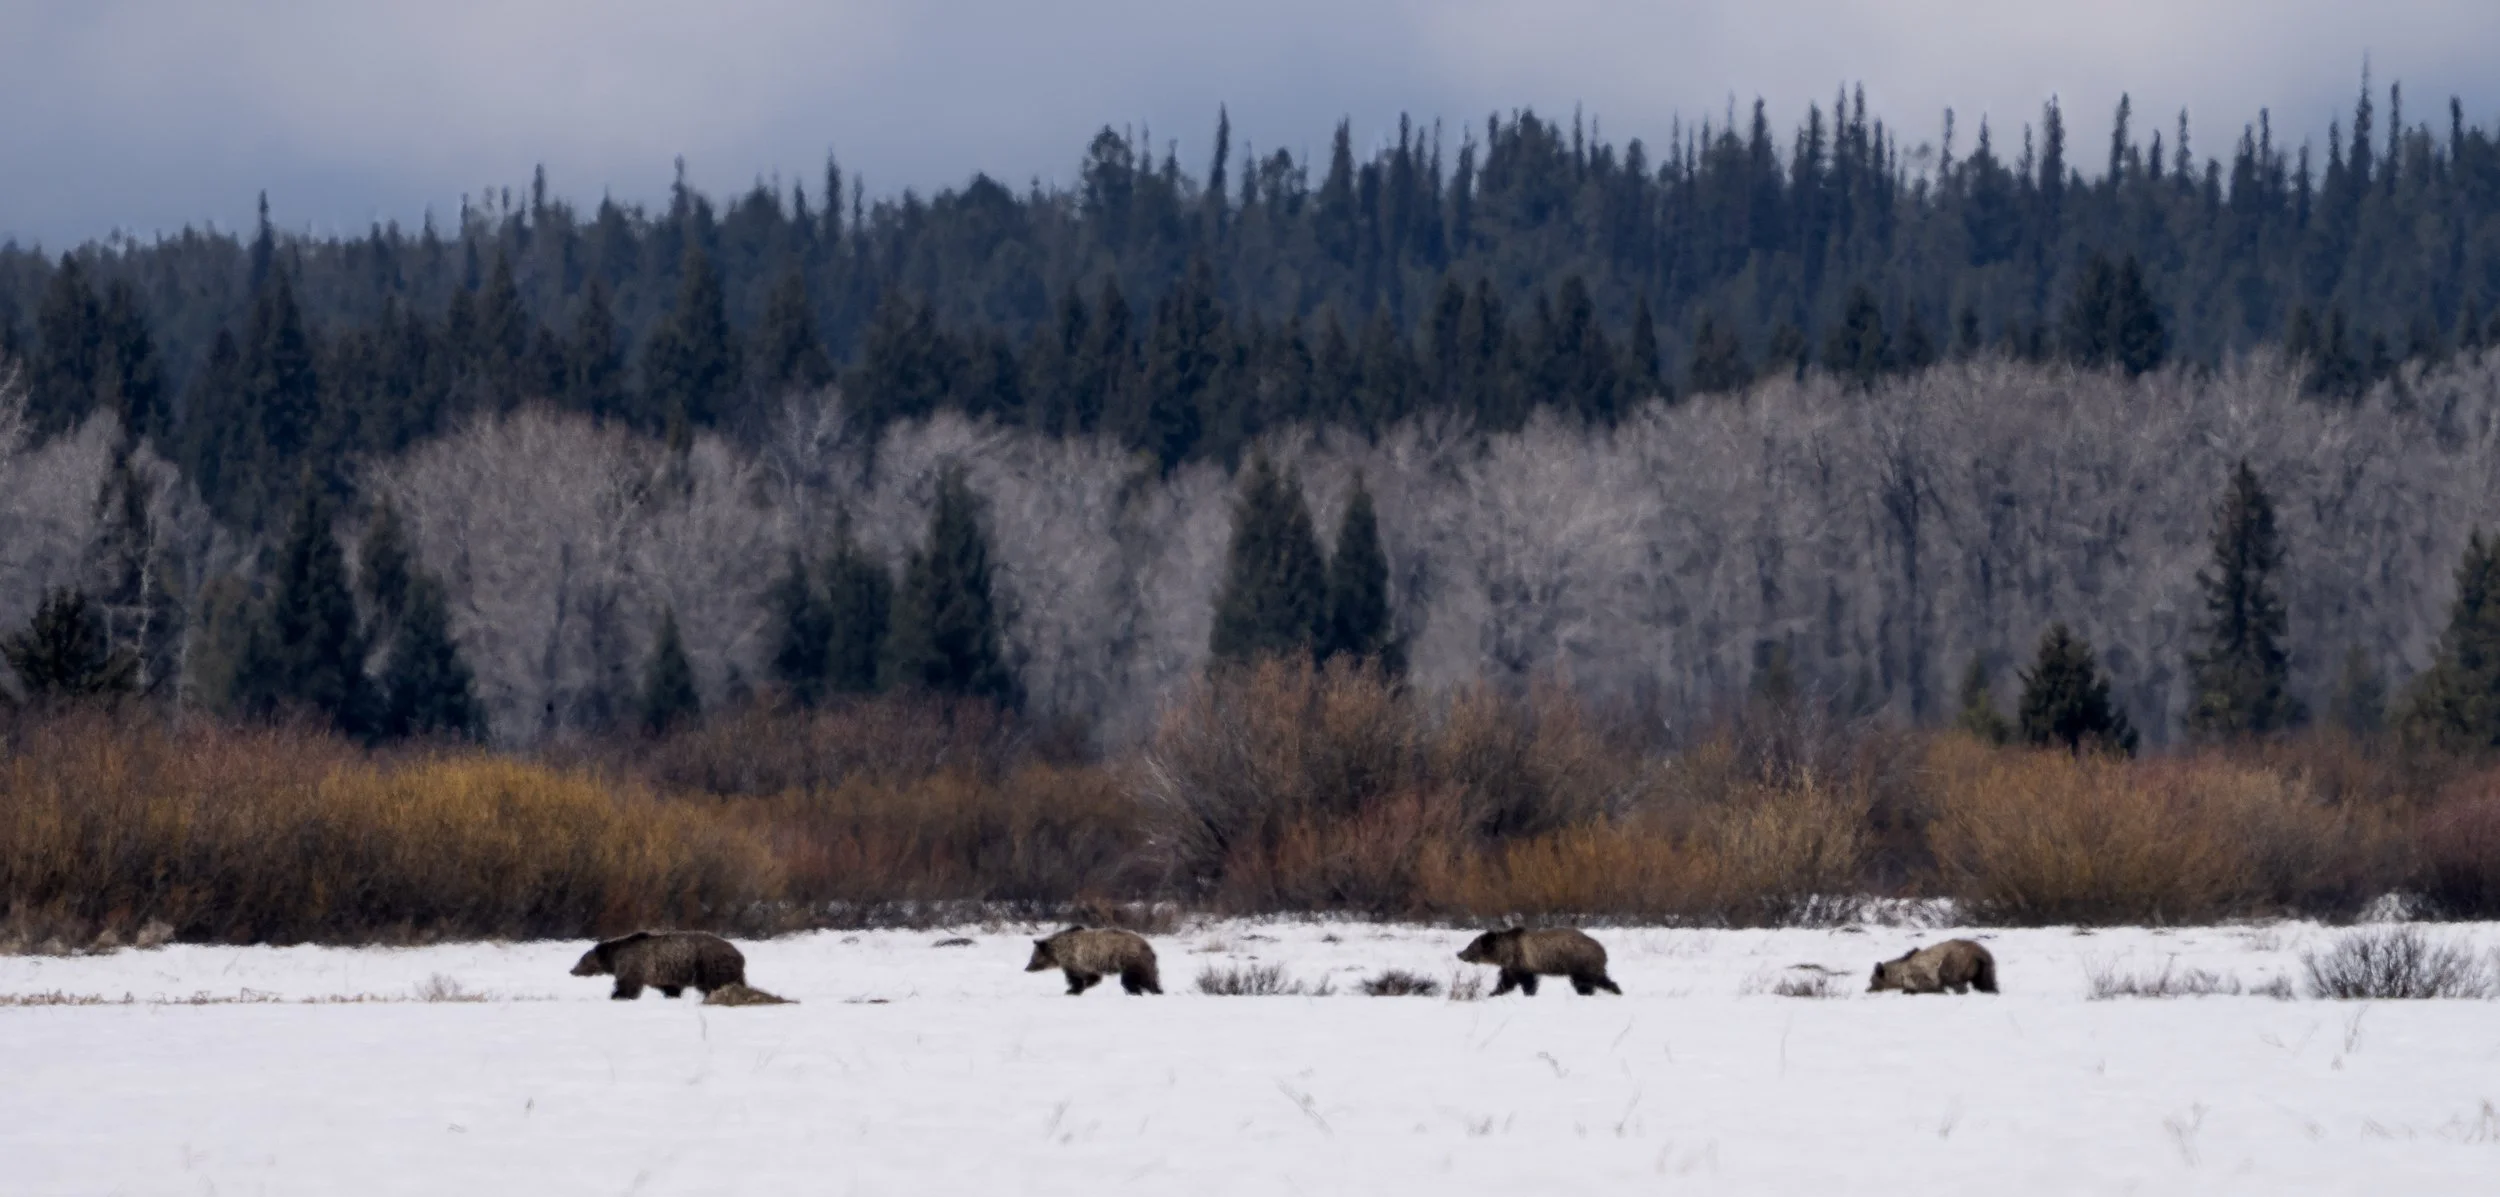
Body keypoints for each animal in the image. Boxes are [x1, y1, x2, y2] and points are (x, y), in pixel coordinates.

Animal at [570, 931, 747, 1000]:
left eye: (582, 959)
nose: (572, 970)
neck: (614, 957)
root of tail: (739, 954)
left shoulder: (634, 963)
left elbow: (628, 984)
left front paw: (617, 995)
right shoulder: (664, 973)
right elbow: (669, 987)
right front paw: (672, 995)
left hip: (710, 964)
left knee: (716, 983)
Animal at [1025, 926, 1161, 995]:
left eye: (1033, 956)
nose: (1027, 968)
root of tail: (1148, 947)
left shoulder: (1075, 960)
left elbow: (1076, 978)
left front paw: (1072, 990)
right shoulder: (1086, 963)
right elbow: (1093, 976)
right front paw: (1086, 985)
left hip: (1129, 959)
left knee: (1130, 980)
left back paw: (1135, 992)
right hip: (1143, 964)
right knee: (1148, 979)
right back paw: (1155, 991)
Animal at [1455, 927, 1621, 996]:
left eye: (1470, 947)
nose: (1459, 954)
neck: (1505, 952)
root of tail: (1602, 950)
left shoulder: (1521, 961)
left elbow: (1527, 981)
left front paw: (1529, 993)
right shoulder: (1511, 967)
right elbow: (1506, 982)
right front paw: (1494, 993)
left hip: (1580, 961)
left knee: (1584, 982)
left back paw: (1587, 993)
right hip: (1589, 966)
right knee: (1602, 979)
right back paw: (1616, 990)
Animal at [1868, 939, 1998, 994]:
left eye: (1871, 980)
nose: (1867, 989)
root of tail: (1978, 953)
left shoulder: (1920, 974)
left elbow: (1929, 986)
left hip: (1955, 960)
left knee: (1951, 977)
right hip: (1985, 965)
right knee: (1986, 982)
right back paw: (1991, 991)